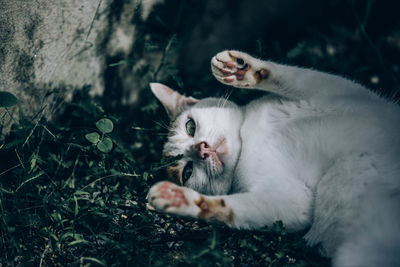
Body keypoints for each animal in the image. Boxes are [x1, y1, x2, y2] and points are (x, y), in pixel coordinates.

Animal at [148, 50, 400, 267]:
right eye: (188, 172)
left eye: (190, 127)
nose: (202, 149)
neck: (249, 137)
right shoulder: (293, 200)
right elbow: (233, 209)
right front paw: (182, 199)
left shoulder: (343, 93)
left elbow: (296, 76)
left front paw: (240, 69)